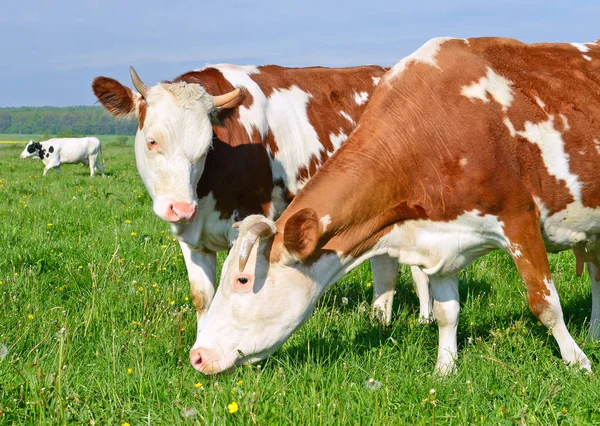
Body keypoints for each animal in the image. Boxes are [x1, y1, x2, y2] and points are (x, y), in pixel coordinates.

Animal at [91, 63, 434, 342]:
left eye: (207, 146)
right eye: (152, 141)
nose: (181, 208)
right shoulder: (191, 237)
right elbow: (203, 297)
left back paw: (425, 318)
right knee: (386, 263)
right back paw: (380, 320)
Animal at [191, 37, 600, 376]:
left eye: (243, 280)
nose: (197, 355)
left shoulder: (519, 219)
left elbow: (545, 304)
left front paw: (578, 363)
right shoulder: (440, 239)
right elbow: (446, 312)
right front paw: (444, 370)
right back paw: (596, 332)